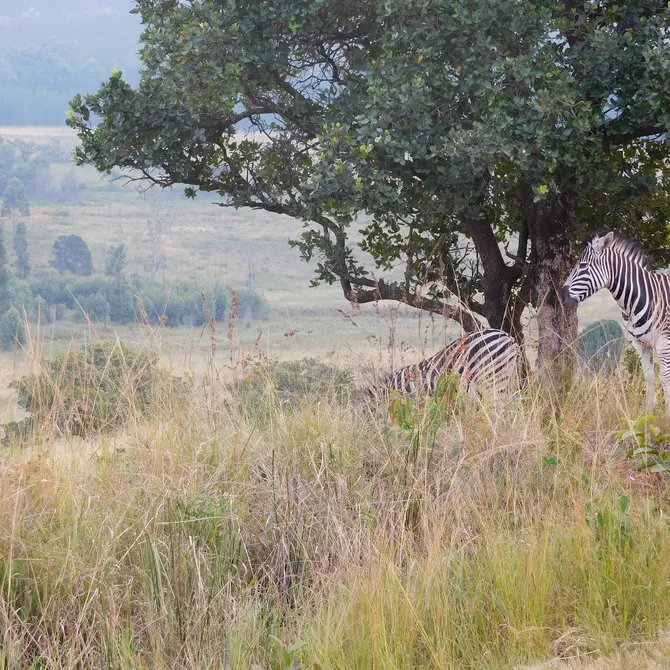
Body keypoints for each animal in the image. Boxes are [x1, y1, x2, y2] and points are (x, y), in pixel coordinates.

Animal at [561, 230, 670, 415]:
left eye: (583, 266)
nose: (562, 297)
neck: (635, 300)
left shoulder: (664, 341)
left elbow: (665, 377)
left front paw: (666, 415)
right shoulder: (640, 343)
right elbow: (649, 375)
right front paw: (649, 413)